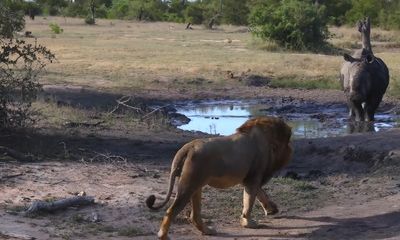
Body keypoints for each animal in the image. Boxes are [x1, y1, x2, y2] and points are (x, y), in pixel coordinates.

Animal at [145, 116, 292, 238]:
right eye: (287, 143)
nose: (291, 150)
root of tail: (189, 147)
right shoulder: (253, 178)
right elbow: (249, 202)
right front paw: (249, 223)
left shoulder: (249, 178)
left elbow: (260, 195)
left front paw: (271, 209)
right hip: (188, 184)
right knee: (171, 211)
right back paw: (163, 236)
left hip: (196, 185)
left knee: (194, 215)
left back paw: (208, 231)